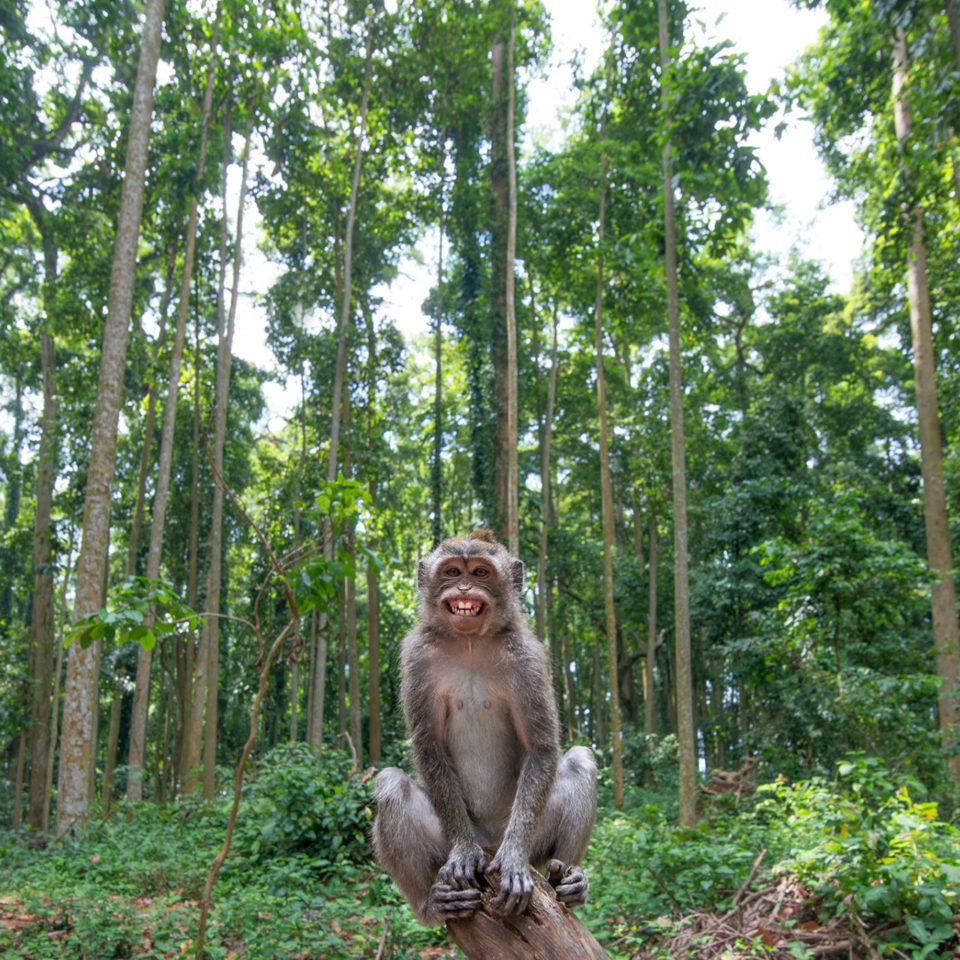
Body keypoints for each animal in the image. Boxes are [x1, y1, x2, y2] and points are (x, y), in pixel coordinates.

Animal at [372, 528, 596, 928]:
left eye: (479, 572)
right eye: (451, 572)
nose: (464, 589)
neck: (470, 642)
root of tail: (489, 843)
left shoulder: (528, 656)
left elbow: (541, 746)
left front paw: (514, 859)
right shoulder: (417, 655)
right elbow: (428, 745)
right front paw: (463, 851)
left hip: (536, 842)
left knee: (579, 762)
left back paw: (569, 883)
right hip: (443, 847)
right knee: (391, 783)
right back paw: (432, 905)